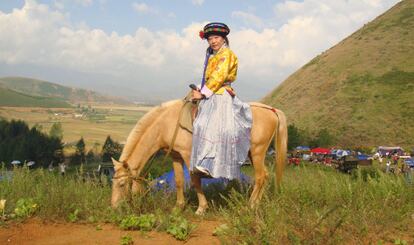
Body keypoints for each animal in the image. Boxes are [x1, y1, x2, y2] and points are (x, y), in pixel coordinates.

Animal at [111, 99, 288, 214]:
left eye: (121, 184)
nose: (114, 207)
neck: (167, 124)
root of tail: (271, 110)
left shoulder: (188, 155)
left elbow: (195, 180)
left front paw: (201, 208)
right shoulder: (176, 155)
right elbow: (179, 181)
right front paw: (178, 207)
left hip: (257, 151)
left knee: (260, 176)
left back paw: (250, 205)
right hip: (253, 153)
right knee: (265, 175)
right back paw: (257, 203)